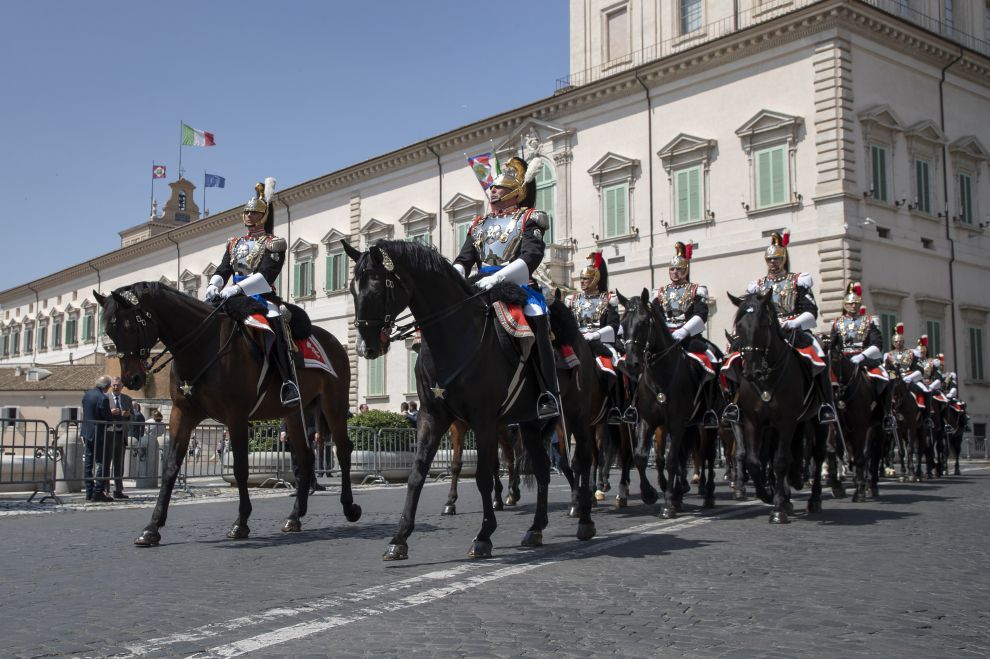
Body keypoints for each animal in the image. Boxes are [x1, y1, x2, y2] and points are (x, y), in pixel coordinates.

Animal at [95, 284, 360, 548]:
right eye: (109, 330)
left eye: (129, 326)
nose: (132, 379)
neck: (203, 345)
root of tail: (334, 342)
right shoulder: (182, 414)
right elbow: (171, 468)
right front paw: (152, 527)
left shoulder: (236, 417)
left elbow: (241, 468)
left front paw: (240, 523)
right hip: (294, 412)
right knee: (306, 457)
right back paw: (294, 517)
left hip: (333, 404)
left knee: (343, 450)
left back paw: (349, 507)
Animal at [344, 240, 592, 560]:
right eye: (352, 290)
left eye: (376, 288)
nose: (365, 347)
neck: (454, 335)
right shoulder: (432, 417)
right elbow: (417, 474)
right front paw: (399, 538)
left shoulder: (483, 419)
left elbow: (484, 475)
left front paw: (484, 535)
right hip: (529, 422)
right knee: (542, 468)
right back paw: (536, 528)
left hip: (574, 414)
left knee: (581, 460)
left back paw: (584, 519)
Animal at [616, 292, 716, 520]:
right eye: (623, 323)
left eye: (645, 322)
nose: (632, 364)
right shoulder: (648, 420)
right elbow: (641, 456)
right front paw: (650, 494)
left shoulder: (677, 423)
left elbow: (671, 460)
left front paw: (668, 504)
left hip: (709, 425)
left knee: (707, 454)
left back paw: (707, 493)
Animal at [728, 292, 828, 524]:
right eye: (739, 326)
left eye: (764, 323)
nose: (750, 371)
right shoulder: (753, 423)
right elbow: (754, 461)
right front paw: (767, 495)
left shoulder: (786, 422)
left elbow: (780, 461)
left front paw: (778, 510)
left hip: (817, 421)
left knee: (817, 455)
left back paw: (814, 498)